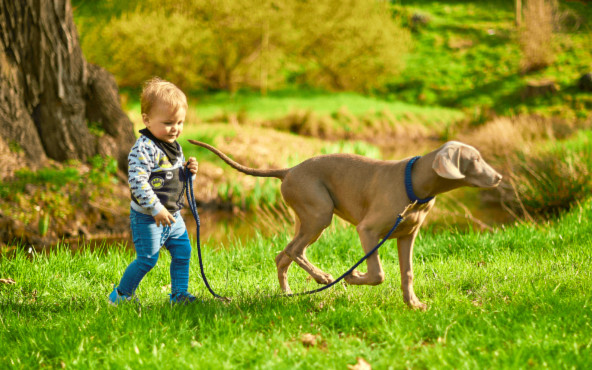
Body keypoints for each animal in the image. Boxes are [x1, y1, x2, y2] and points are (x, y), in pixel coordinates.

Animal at [188, 139, 500, 310]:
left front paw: (413, 304)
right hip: (320, 213)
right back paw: (324, 278)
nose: (498, 178)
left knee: (283, 255)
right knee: (294, 251)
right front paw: (352, 276)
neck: (413, 185)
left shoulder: (407, 235)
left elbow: (407, 273)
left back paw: (288, 294)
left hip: (307, 217)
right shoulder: (368, 230)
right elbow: (378, 273)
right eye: (475, 159)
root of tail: (289, 170)